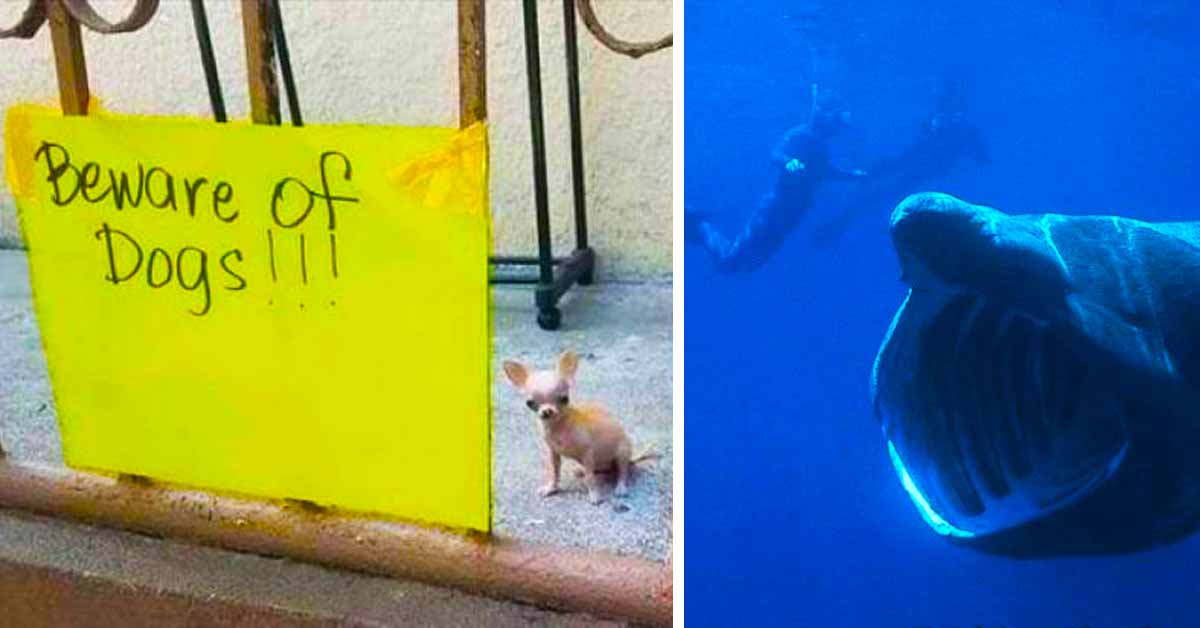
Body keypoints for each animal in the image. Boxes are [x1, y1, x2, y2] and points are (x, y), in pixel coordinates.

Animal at [506, 350, 657, 504]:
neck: (558, 427)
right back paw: (582, 470)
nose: (547, 411)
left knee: (622, 471)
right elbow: (554, 471)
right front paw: (551, 489)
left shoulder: (588, 454)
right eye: (530, 403)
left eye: (564, 399)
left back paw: (620, 488)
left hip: (622, 452)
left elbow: (590, 478)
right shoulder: (553, 453)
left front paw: (595, 496)